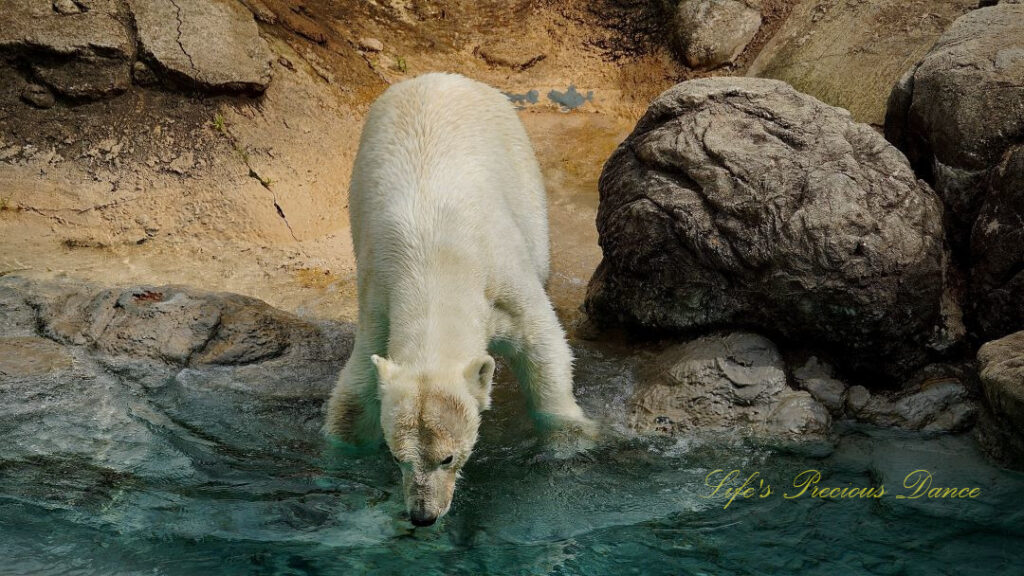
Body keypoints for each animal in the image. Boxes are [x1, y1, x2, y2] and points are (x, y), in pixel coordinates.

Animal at [327, 71, 598, 524]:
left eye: (449, 458)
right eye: (398, 458)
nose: (423, 515)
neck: (433, 261)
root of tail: (436, 76)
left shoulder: (500, 274)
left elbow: (543, 345)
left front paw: (570, 437)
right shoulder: (378, 297)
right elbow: (356, 391)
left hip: (520, 169)